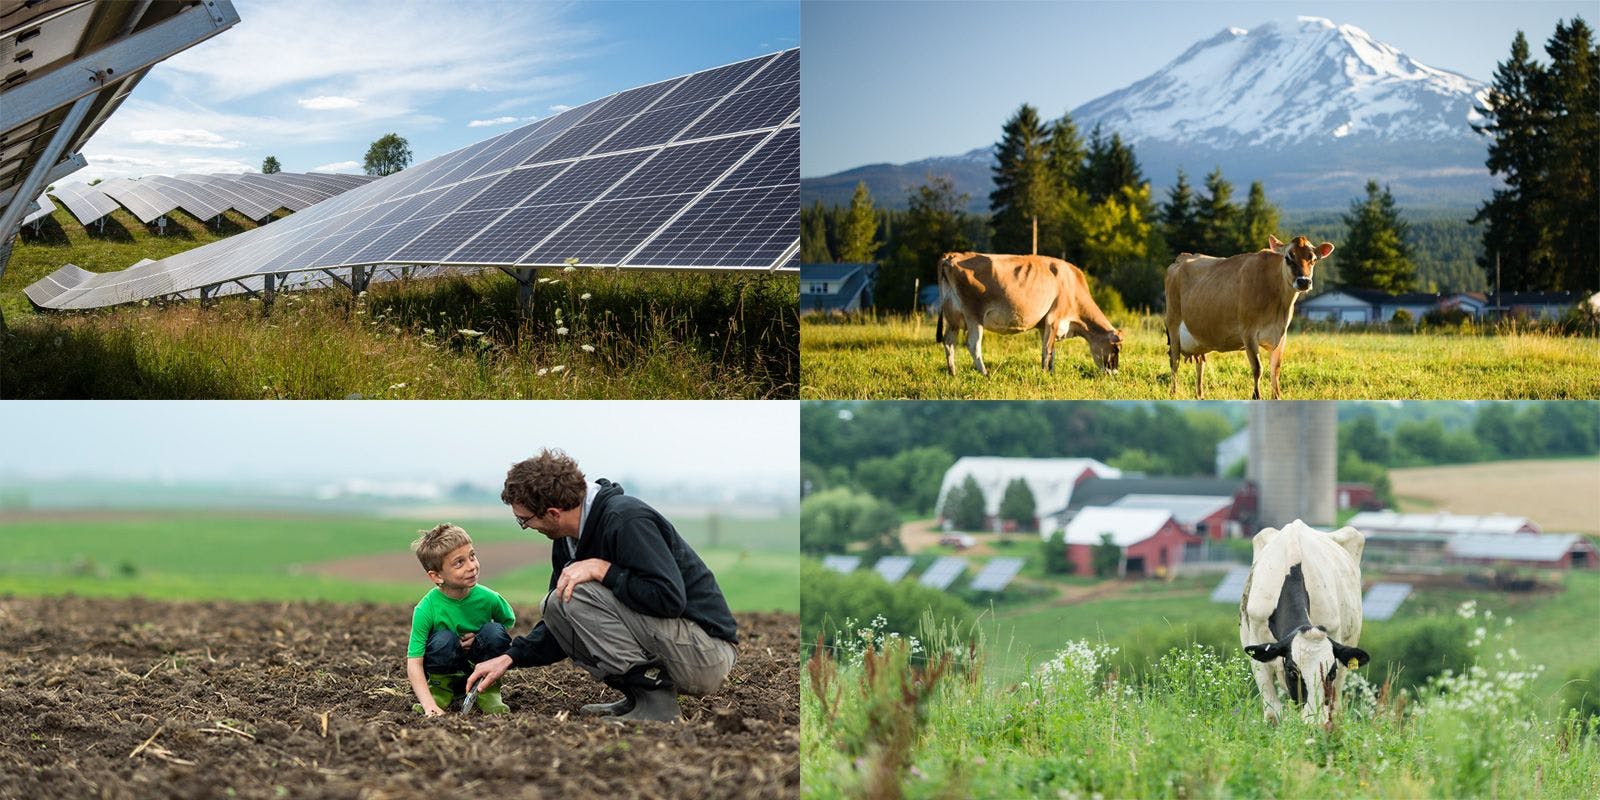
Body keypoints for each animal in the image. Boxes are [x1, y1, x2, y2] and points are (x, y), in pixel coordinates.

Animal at [934, 252, 1120, 377]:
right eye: (1116, 349)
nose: (1115, 373)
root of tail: (952, 256)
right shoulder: (1054, 319)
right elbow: (1047, 349)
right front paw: (1044, 374)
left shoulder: (1044, 324)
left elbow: (1050, 350)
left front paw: (1051, 372)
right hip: (974, 315)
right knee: (973, 344)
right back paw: (985, 374)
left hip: (953, 319)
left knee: (949, 342)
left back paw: (953, 373)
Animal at [1171, 235, 1331, 400]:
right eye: (1288, 258)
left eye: (1313, 259)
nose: (1304, 281)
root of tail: (1183, 257)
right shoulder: (1248, 333)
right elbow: (1257, 368)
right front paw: (1256, 396)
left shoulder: (1281, 335)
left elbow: (1276, 369)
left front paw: (1276, 396)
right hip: (1173, 324)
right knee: (1175, 361)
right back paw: (1174, 393)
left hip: (1199, 339)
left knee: (1200, 363)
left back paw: (1200, 395)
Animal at [1235, 518, 1376, 726]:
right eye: (1293, 672)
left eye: (1331, 673)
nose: (1313, 722)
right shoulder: (1257, 649)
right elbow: (1273, 714)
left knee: (1337, 707)